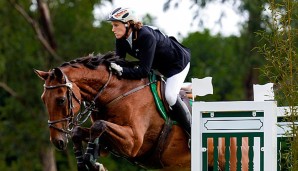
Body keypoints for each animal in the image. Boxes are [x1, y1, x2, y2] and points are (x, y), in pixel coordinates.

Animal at [35, 51, 248, 170]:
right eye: (44, 100)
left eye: (61, 100)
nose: (58, 142)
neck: (116, 92)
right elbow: (81, 132)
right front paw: (85, 161)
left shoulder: (133, 143)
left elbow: (98, 125)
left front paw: (90, 161)